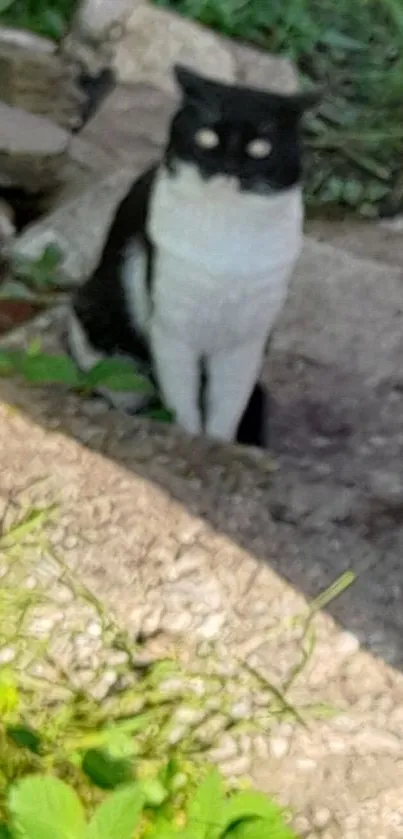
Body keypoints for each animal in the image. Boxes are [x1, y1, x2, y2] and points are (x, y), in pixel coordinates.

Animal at [67, 64, 318, 446]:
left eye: (260, 148)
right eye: (206, 137)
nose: (228, 167)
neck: (224, 237)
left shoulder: (247, 338)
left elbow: (227, 407)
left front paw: (218, 442)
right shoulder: (172, 327)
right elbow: (182, 401)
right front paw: (188, 435)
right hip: (98, 325)